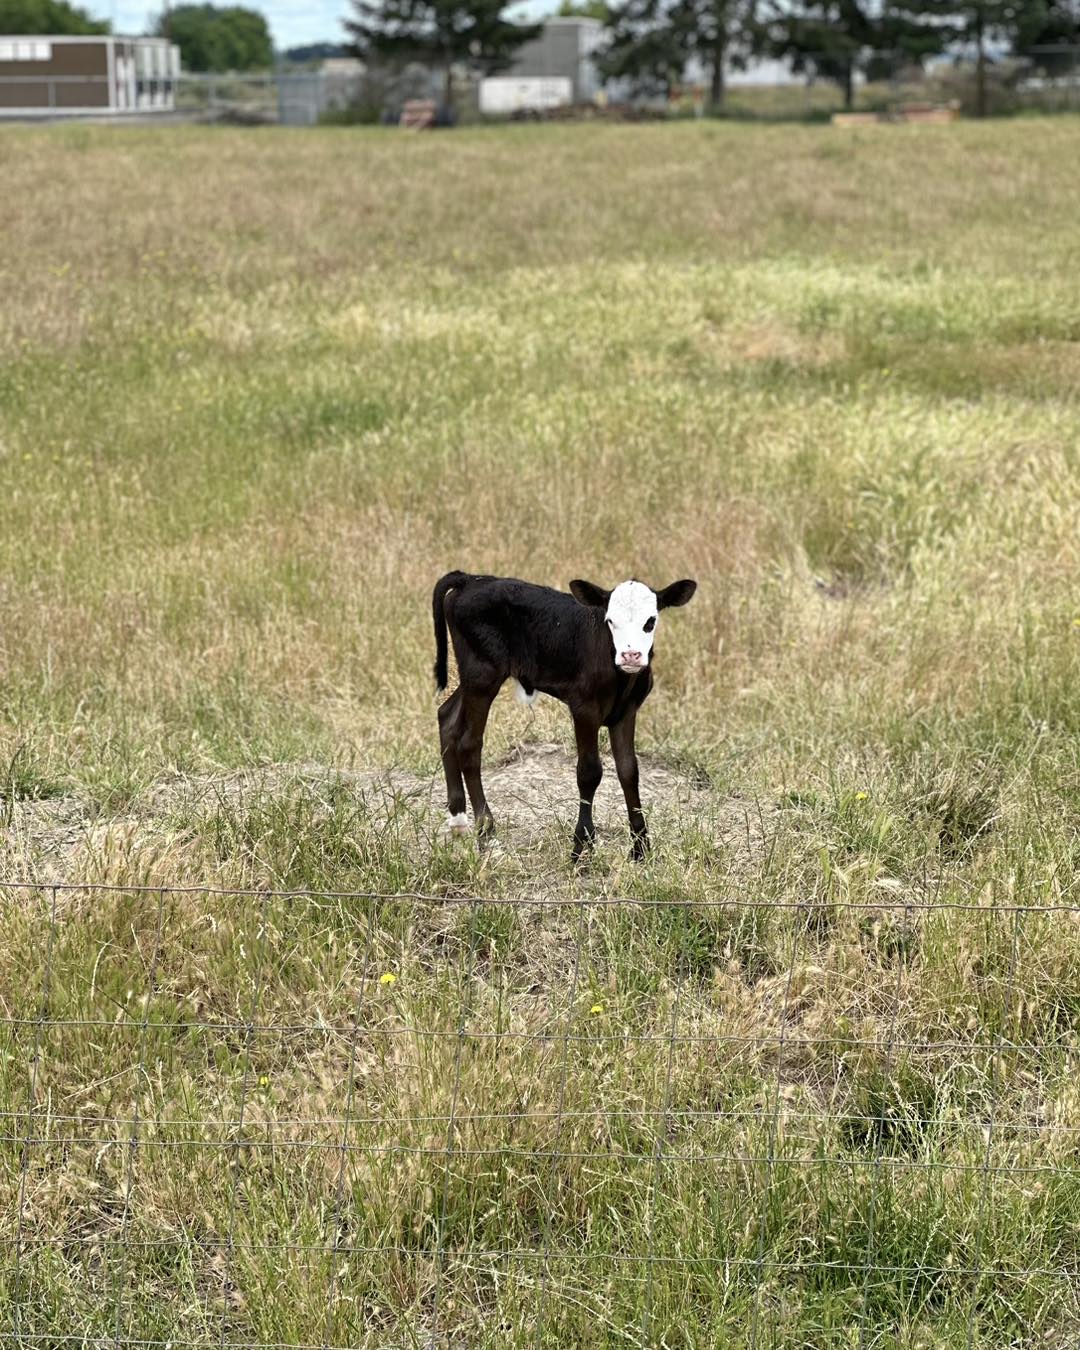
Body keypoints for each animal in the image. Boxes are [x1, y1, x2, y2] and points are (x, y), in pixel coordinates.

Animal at [432, 571, 697, 862]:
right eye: (610, 621)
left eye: (650, 621)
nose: (631, 655)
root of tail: (470, 578)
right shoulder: (584, 707)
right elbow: (589, 772)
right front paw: (581, 846)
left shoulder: (626, 712)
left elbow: (629, 770)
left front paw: (640, 847)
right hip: (482, 673)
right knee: (469, 743)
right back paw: (485, 830)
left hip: (475, 677)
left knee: (447, 717)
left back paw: (458, 817)